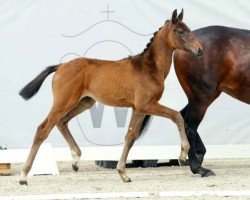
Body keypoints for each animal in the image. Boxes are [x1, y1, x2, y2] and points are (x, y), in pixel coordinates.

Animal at [19, 9, 203, 184]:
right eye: (180, 31)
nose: (200, 51)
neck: (148, 67)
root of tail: (61, 66)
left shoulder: (138, 109)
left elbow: (130, 137)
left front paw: (123, 173)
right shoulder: (146, 105)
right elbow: (176, 116)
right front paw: (182, 155)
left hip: (85, 103)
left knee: (62, 122)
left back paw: (76, 160)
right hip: (63, 102)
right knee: (43, 129)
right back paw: (24, 175)